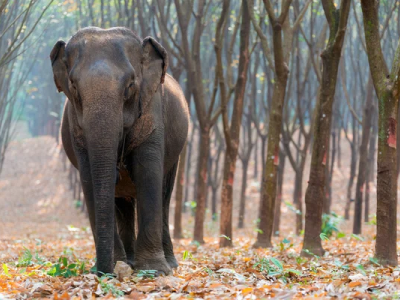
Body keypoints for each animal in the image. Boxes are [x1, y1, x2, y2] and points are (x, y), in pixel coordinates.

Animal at [49, 27, 189, 276]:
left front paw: (153, 272)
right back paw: (128, 262)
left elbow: (147, 175)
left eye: (130, 85)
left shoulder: (152, 112)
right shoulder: (76, 129)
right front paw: (116, 266)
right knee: (122, 202)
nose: (103, 273)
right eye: (73, 86)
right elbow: (89, 180)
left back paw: (169, 264)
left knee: (164, 195)